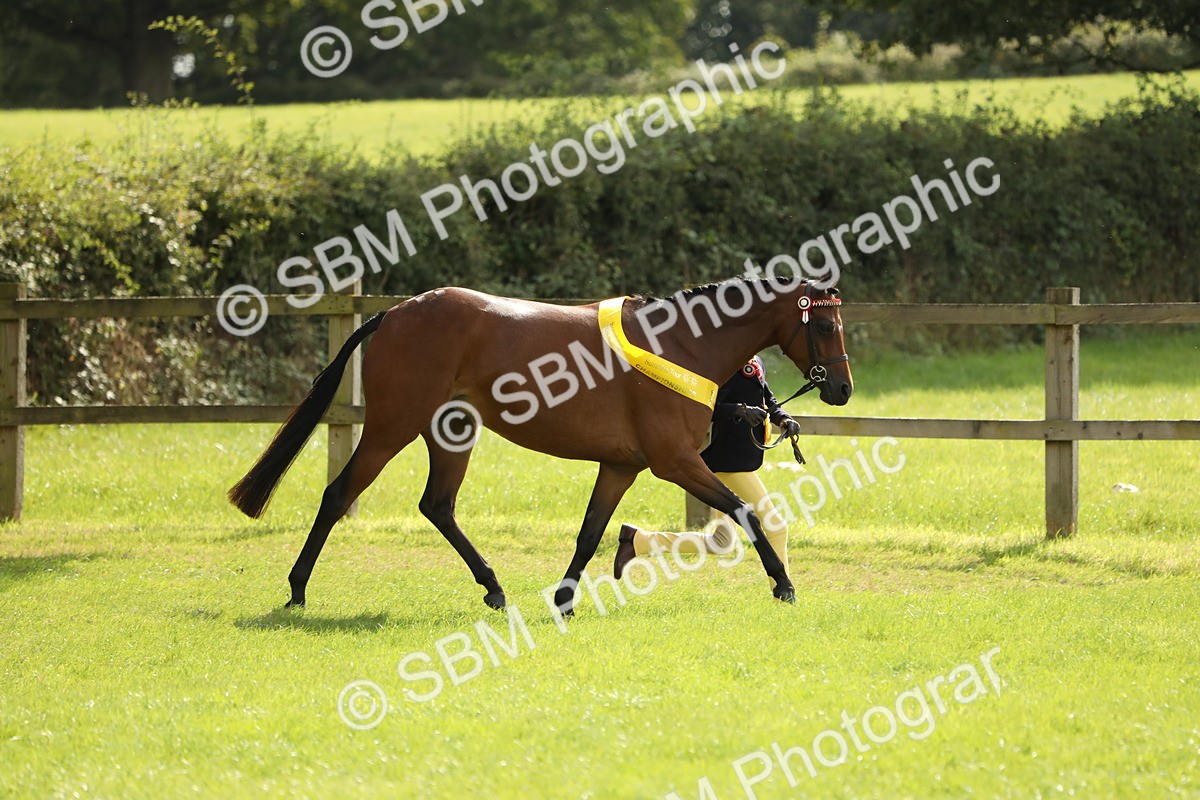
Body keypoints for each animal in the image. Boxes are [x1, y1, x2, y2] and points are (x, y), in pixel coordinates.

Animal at [228, 277, 853, 615]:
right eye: (825, 326)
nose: (843, 389)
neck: (678, 342)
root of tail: (394, 312)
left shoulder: (620, 466)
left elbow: (591, 532)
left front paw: (565, 599)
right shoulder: (674, 463)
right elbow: (745, 511)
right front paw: (784, 584)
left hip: (452, 432)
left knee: (438, 505)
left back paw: (495, 589)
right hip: (390, 429)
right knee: (339, 495)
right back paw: (297, 590)